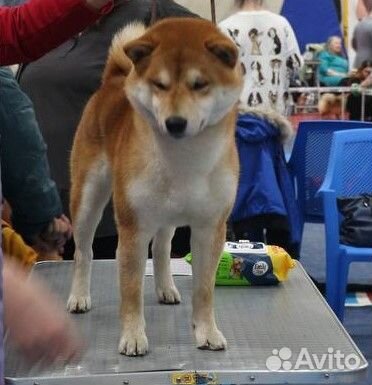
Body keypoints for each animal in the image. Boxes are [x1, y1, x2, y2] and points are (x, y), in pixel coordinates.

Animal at [66, 17, 243, 354]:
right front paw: (133, 336)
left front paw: (207, 332)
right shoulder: (133, 229)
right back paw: (79, 296)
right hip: (87, 198)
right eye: (159, 85)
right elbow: (131, 291)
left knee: (161, 248)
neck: (185, 161)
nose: (175, 122)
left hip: (166, 216)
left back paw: (166, 288)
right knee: (83, 252)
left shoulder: (210, 227)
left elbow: (204, 290)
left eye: (200, 84)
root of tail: (112, 81)